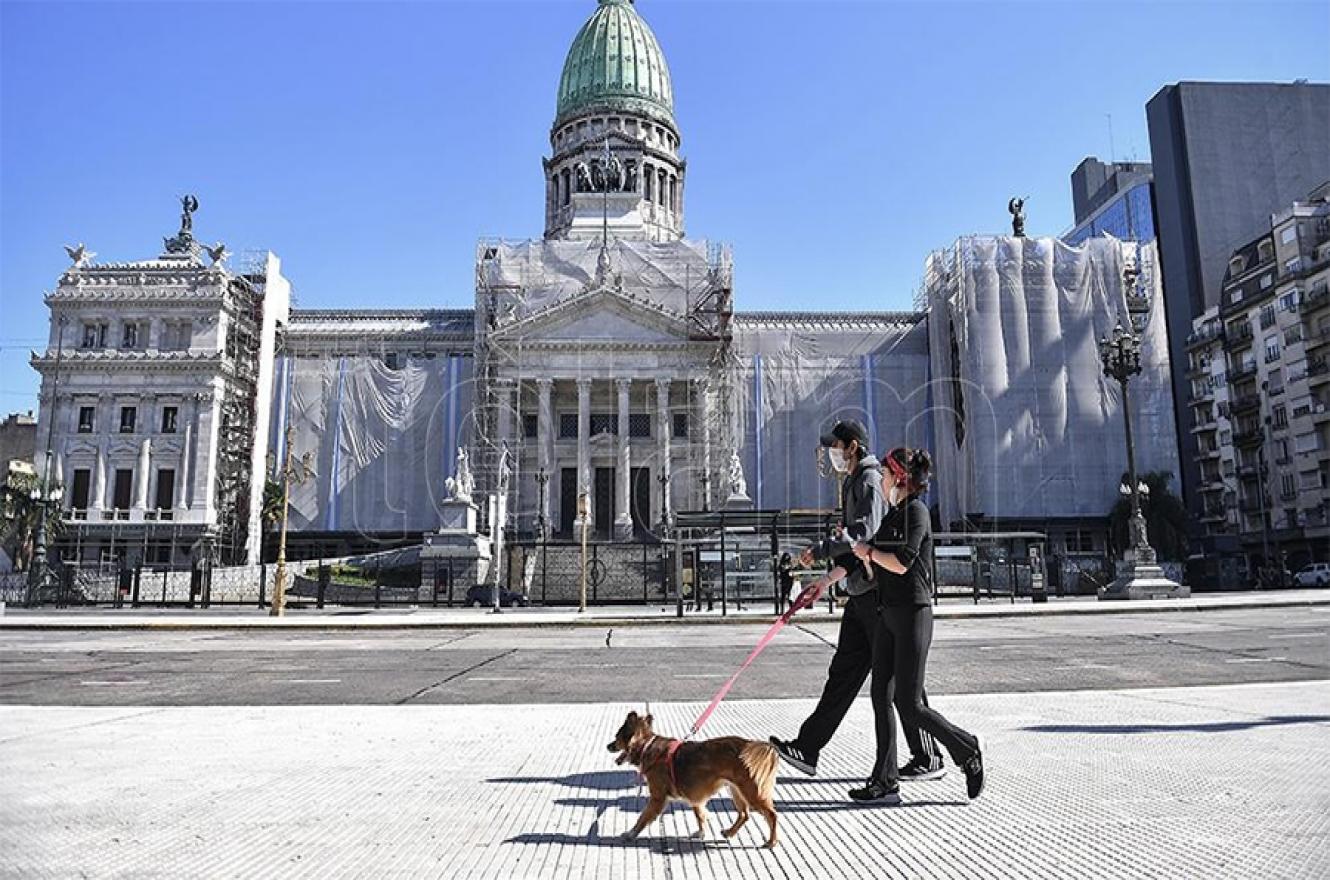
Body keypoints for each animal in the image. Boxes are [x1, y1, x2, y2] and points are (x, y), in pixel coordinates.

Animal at [606, 712, 776, 850]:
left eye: (617, 737)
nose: (608, 746)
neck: (646, 746)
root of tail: (749, 744)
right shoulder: (694, 796)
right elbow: (700, 815)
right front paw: (701, 833)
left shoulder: (657, 798)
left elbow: (643, 817)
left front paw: (631, 833)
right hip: (735, 789)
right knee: (744, 814)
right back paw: (729, 832)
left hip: (750, 792)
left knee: (771, 815)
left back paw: (771, 842)